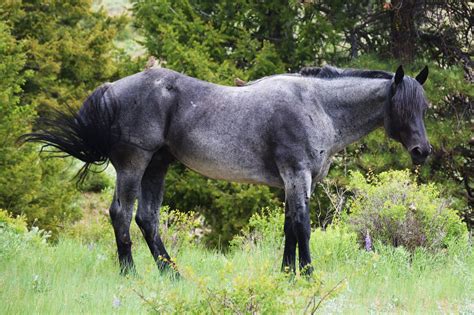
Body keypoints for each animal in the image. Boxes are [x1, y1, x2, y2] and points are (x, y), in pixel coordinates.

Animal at [22, 65, 432, 276]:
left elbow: (289, 227)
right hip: (134, 163)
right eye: (403, 107)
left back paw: (172, 273)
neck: (317, 105)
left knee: (147, 218)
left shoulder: (297, 181)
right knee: (121, 214)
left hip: (157, 165)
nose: (422, 151)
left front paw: (286, 274)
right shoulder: (296, 174)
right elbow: (302, 227)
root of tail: (112, 87)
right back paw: (131, 273)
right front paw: (308, 275)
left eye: (424, 108)